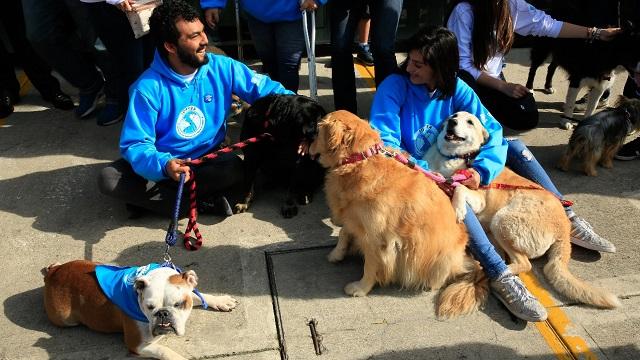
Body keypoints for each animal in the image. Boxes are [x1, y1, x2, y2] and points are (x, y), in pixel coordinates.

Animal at [310, 109, 490, 318]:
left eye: (317, 130)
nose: (308, 144)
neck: (360, 158)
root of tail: (464, 261)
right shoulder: (355, 217)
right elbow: (344, 231)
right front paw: (337, 253)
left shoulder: (376, 238)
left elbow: (370, 265)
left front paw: (360, 288)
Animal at [424, 112, 620, 310]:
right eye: (454, 116)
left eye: (470, 122)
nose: (452, 122)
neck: (453, 157)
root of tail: (564, 228)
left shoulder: (478, 197)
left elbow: (458, 188)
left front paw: (458, 209)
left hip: (502, 221)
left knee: (524, 265)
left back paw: (497, 273)